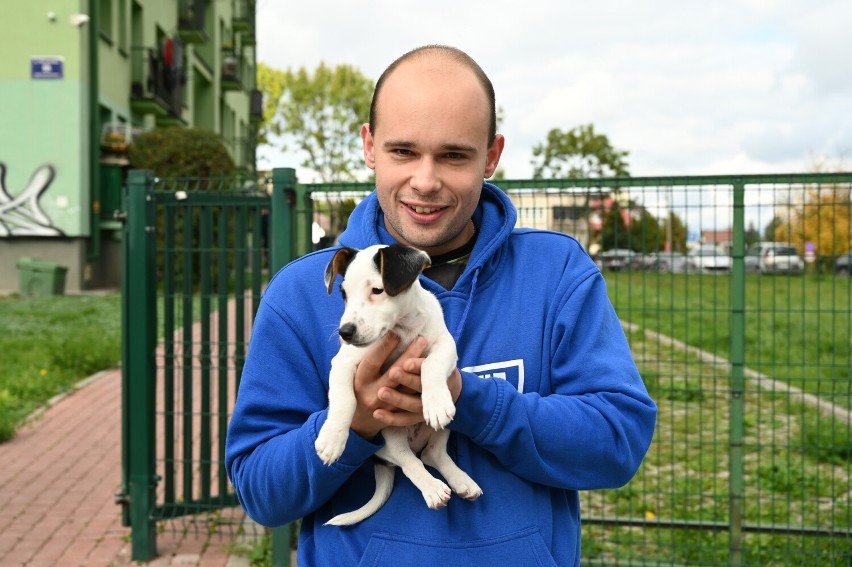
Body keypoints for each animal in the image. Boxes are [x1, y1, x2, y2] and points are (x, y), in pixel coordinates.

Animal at [316, 244, 482, 528]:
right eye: (344, 293)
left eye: (377, 290)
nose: (344, 332)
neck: (402, 329)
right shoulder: (343, 362)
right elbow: (344, 400)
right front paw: (332, 440)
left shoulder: (444, 344)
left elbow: (431, 365)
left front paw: (435, 403)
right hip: (389, 437)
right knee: (409, 461)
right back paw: (433, 489)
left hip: (445, 426)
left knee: (432, 453)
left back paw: (462, 482)